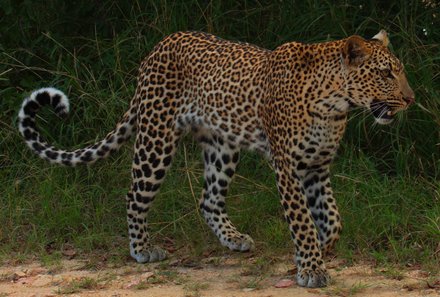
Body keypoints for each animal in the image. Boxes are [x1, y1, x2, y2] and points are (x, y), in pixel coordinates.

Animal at [18, 29, 414, 286]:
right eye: (385, 73)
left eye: (400, 71)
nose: (410, 99)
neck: (334, 105)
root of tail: (157, 48)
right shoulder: (287, 167)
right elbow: (302, 219)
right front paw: (311, 267)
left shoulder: (317, 167)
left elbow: (332, 220)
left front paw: (318, 251)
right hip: (156, 139)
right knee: (134, 195)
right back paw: (142, 249)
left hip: (223, 147)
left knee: (209, 200)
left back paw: (233, 239)